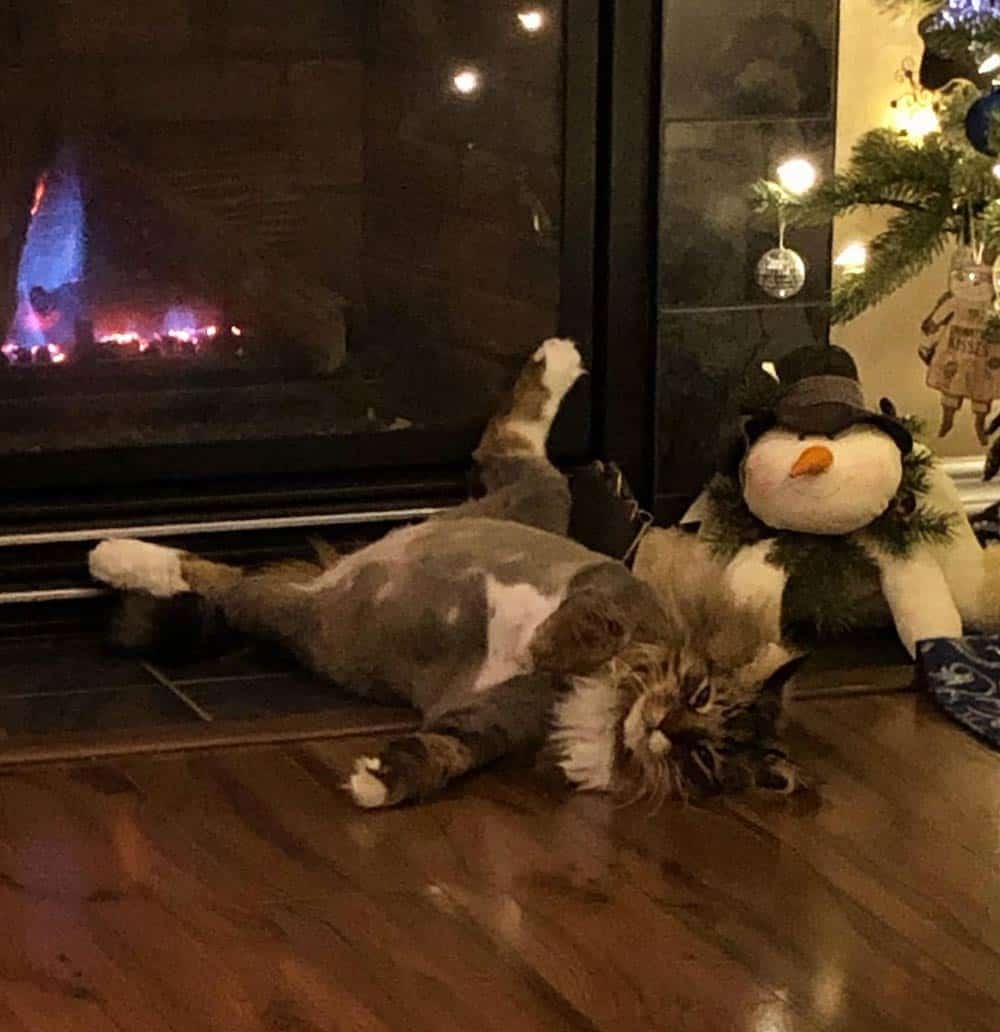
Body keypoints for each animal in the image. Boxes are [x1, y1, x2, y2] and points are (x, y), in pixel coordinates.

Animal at [87, 338, 804, 804]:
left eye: (704, 755)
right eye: (699, 696)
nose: (662, 729)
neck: (609, 701)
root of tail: (337, 568)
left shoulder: (493, 718)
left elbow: (443, 753)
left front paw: (376, 781)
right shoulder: (615, 591)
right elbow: (585, 625)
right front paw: (542, 644)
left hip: (297, 616)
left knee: (224, 581)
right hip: (534, 500)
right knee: (512, 443)